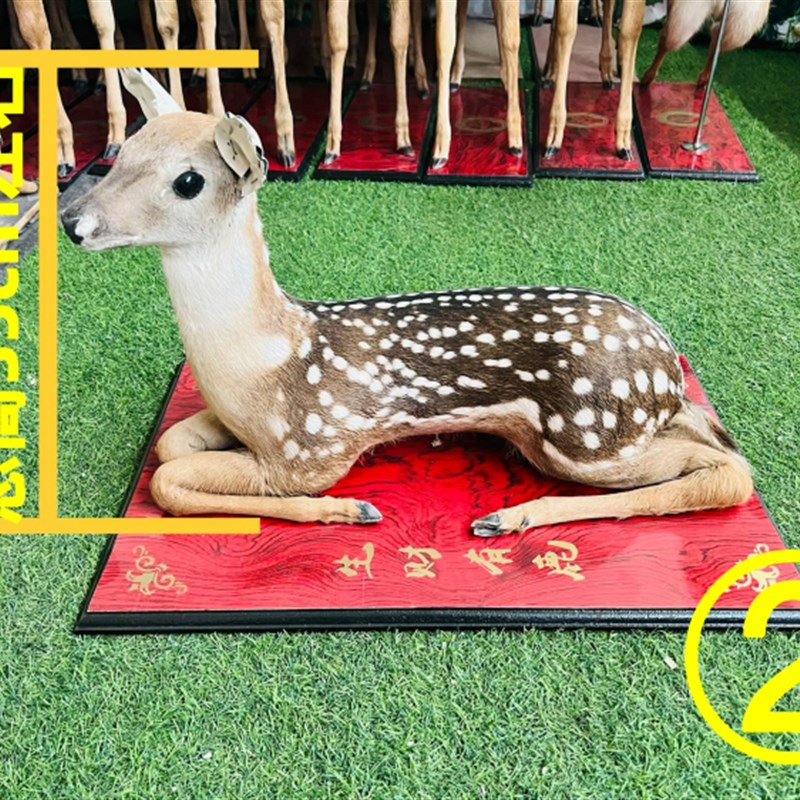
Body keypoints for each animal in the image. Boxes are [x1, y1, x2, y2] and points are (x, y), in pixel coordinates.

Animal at [60, 68, 754, 533]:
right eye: (121, 150)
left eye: (188, 181)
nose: (72, 221)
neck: (260, 362)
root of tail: (666, 371)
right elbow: (171, 447)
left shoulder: (309, 451)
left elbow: (169, 482)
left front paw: (347, 507)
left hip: (589, 436)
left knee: (727, 470)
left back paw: (510, 518)